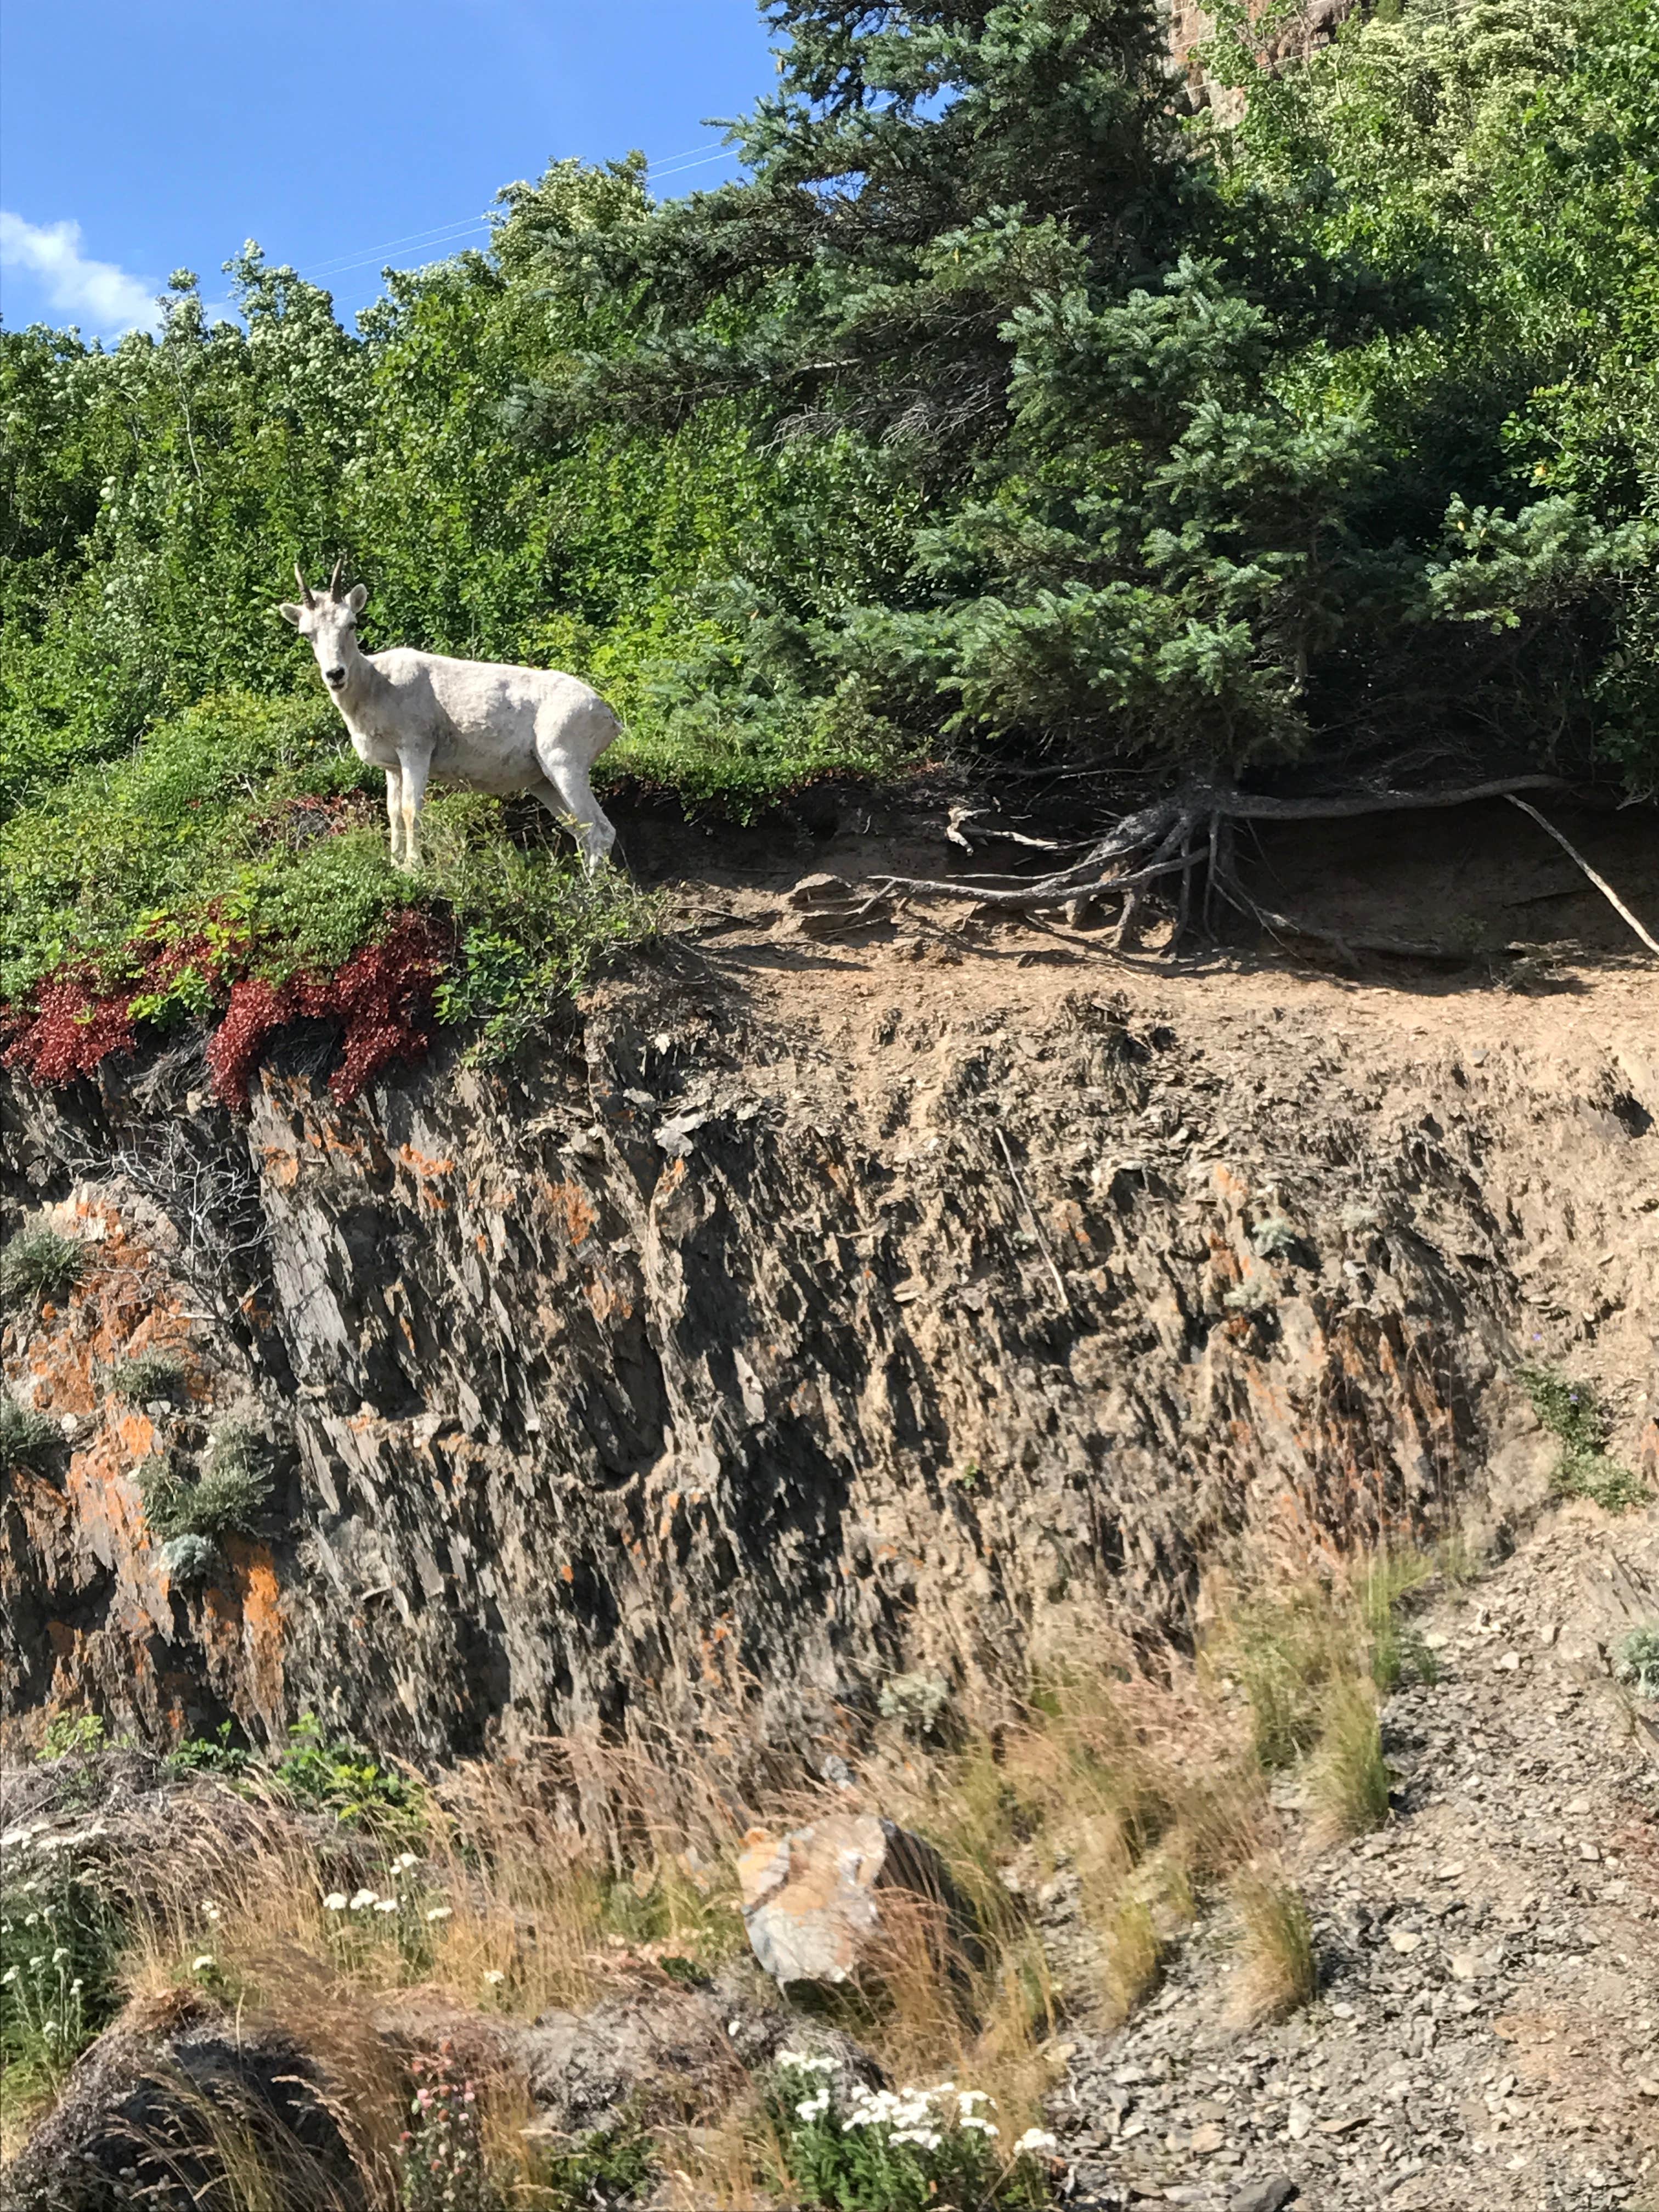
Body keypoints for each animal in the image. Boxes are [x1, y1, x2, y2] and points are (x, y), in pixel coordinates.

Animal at [283, 562, 619, 871]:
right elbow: (393, 811)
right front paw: (394, 864)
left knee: (600, 830)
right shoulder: (393, 767)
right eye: (307, 633)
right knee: (582, 832)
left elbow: (411, 809)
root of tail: (607, 715)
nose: (335, 674)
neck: (378, 685)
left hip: (565, 766)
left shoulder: (416, 750)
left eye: (351, 624)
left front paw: (413, 867)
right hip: (543, 781)